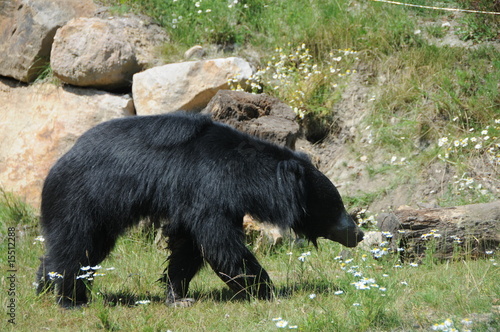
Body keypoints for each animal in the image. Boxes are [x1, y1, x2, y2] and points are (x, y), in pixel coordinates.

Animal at [35, 111, 364, 306]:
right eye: (336, 206)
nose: (358, 234)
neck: (243, 176)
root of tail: (58, 163)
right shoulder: (207, 188)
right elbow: (220, 244)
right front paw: (265, 290)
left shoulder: (197, 200)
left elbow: (189, 248)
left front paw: (177, 295)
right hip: (83, 199)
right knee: (74, 247)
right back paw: (70, 299)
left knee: (83, 250)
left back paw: (44, 289)